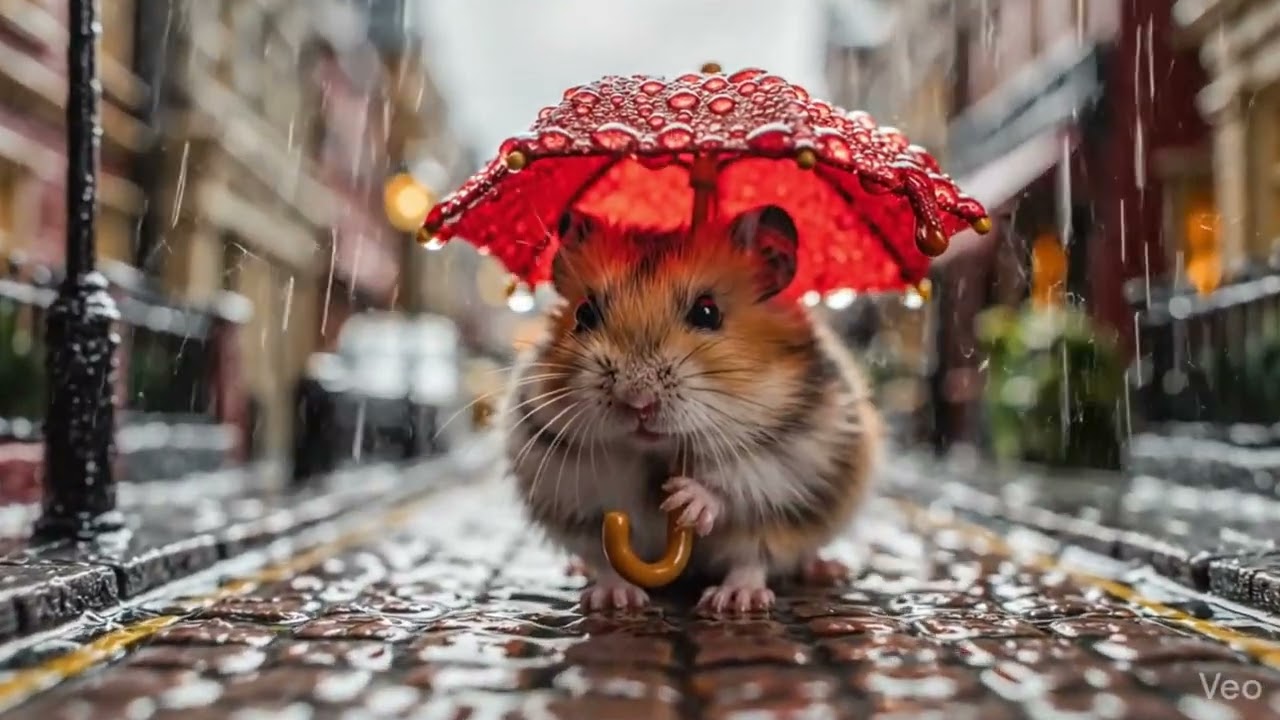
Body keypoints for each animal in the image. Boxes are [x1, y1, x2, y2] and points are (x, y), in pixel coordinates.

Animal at [502, 203, 883, 613]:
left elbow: (735, 494)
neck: (655, 453)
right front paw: (615, 600)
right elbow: (605, 552)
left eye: (707, 313)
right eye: (585, 314)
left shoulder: (791, 458)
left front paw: (686, 500)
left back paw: (755, 594)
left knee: (757, 558)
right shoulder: (571, 481)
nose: (637, 402)